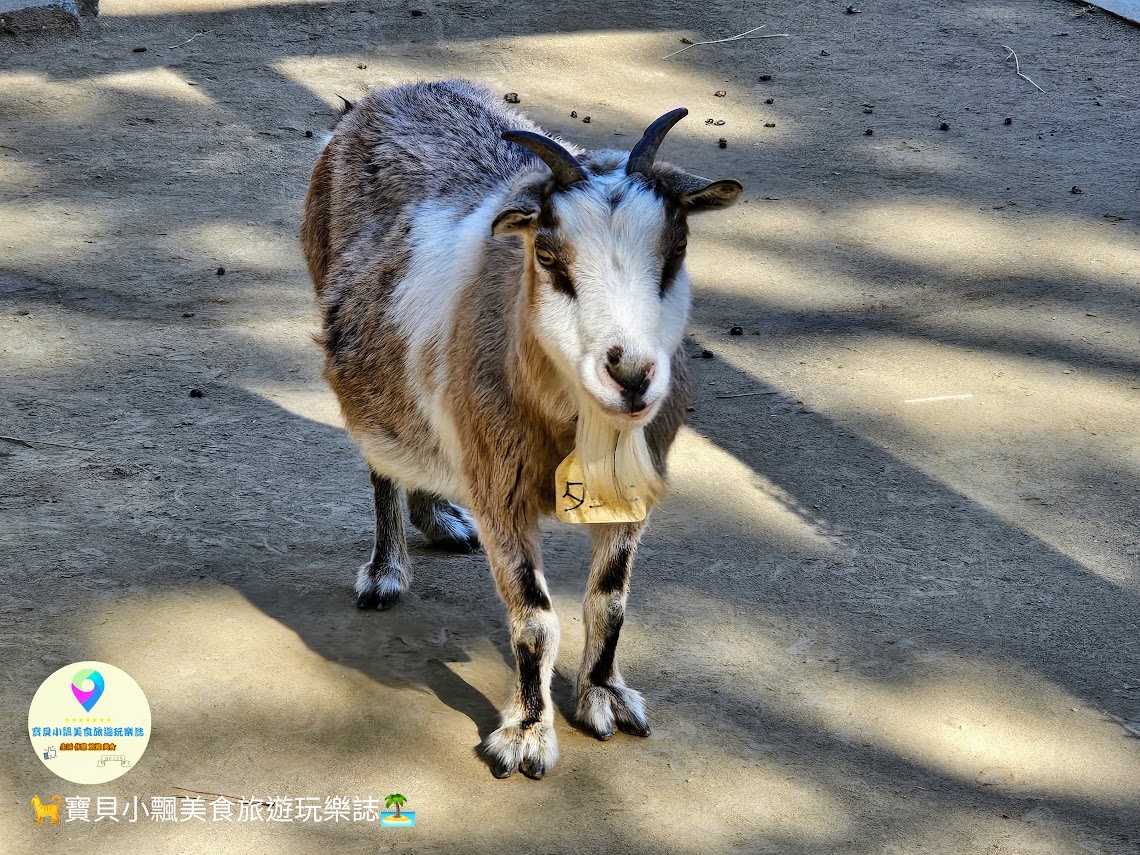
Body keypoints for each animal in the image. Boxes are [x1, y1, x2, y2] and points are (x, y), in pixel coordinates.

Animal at [298, 82, 743, 784]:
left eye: (675, 251)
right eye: (549, 256)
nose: (631, 375)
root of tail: (384, 97)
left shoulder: (631, 492)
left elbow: (608, 600)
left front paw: (605, 696)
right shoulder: (500, 490)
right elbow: (534, 617)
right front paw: (527, 738)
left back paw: (441, 521)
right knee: (381, 456)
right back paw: (386, 571)